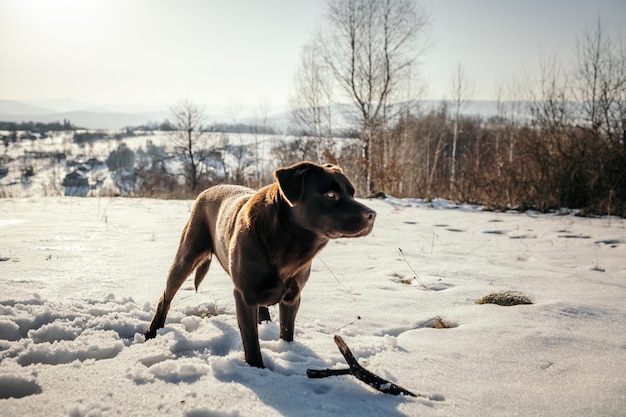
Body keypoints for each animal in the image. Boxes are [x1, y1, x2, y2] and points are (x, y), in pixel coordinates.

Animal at [144, 161, 372, 366]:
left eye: (352, 193)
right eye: (330, 195)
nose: (372, 215)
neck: (288, 241)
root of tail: (208, 189)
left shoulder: (293, 296)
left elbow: (287, 331)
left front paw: (286, 350)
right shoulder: (244, 296)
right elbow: (251, 342)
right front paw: (257, 369)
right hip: (186, 257)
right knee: (166, 297)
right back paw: (152, 332)